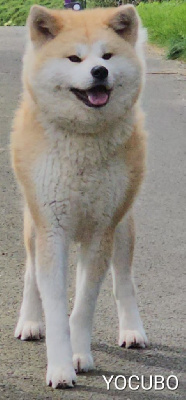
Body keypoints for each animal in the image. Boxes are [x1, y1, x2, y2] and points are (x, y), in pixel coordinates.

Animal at [11, 4, 148, 390]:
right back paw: (30, 321)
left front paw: (79, 354)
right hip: (33, 225)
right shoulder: (52, 228)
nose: (99, 71)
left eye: (107, 56)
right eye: (75, 58)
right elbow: (56, 304)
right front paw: (59, 367)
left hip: (123, 225)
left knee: (124, 280)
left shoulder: (102, 230)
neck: (83, 142)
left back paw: (132, 328)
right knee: (30, 275)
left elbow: (84, 305)